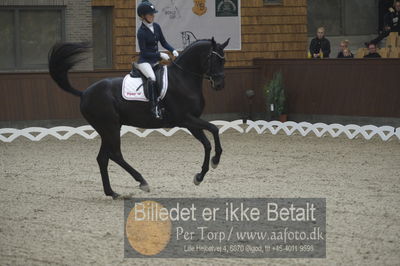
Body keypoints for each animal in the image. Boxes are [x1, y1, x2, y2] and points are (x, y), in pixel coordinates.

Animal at [49, 38, 230, 198]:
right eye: (214, 59)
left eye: (224, 60)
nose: (220, 85)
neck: (183, 79)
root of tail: (84, 93)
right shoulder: (185, 119)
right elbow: (214, 129)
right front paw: (215, 161)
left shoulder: (192, 123)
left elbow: (207, 143)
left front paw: (201, 175)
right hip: (110, 128)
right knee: (115, 155)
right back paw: (142, 181)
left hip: (108, 129)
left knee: (103, 158)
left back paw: (112, 193)